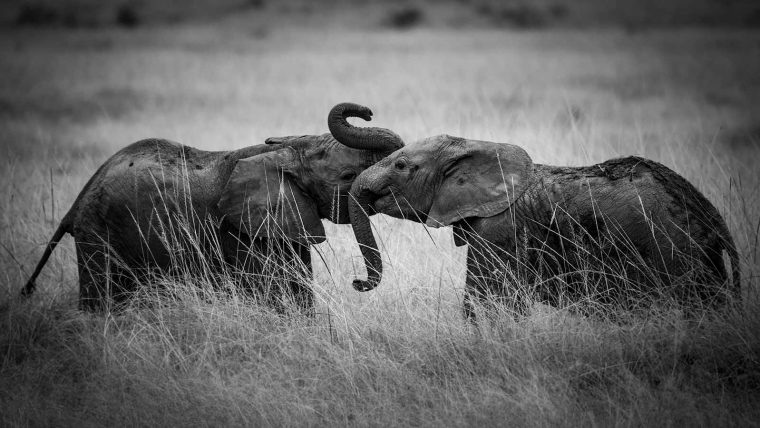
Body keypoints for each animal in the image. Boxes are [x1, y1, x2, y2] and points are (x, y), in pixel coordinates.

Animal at [22, 102, 404, 312]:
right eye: (347, 176)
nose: (356, 282)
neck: (283, 150)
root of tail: (76, 204)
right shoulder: (240, 230)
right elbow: (275, 291)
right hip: (98, 234)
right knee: (101, 299)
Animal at [348, 135, 740, 320]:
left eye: (401, 165)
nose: (356, 283)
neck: (476, 144)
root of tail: (712, 217)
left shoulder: (500, 232)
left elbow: (488, 302)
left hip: (675, 251)